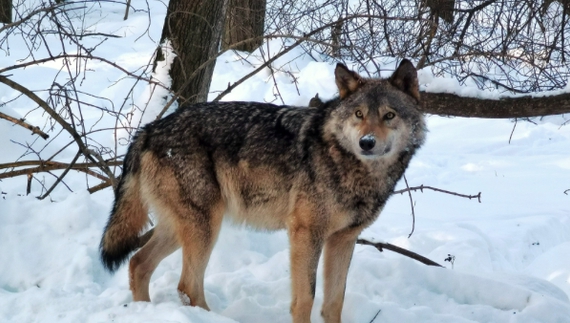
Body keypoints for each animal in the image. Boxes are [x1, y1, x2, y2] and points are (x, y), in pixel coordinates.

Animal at [100, 59, 424, 322]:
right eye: (358, 114)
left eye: (389, 115)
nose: (366, 143)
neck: (352, 168)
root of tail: (148, 129)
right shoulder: (306, 234)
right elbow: (305, 300)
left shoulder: (343, 240)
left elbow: (334, 303)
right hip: (206, 227)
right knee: (187, 286)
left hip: (182, 228)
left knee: (138, 263)